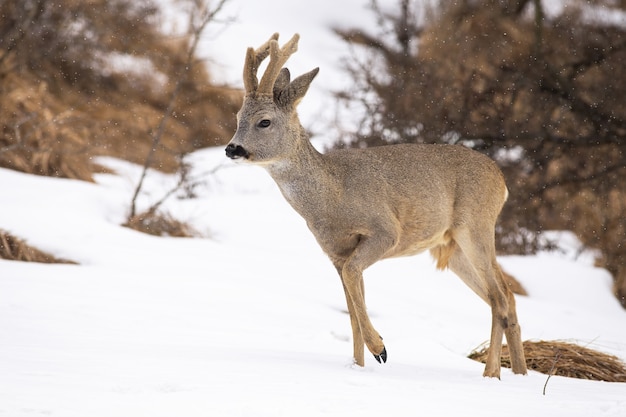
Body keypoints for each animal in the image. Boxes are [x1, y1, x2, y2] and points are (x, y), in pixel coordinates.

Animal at [225, 32, 528, 376]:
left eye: (264, 122)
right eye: (237, 117)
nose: (232, 148)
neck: (332, 197)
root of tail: (502, 180)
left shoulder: (384, 231)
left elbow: (354, 284)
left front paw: (380, 349)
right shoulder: (336, 253)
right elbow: (352, 309)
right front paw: (359, 364)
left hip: (475, 227)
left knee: (501, 297)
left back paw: (492, 374)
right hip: (452, 248)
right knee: (503, 297)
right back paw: (517, 373)